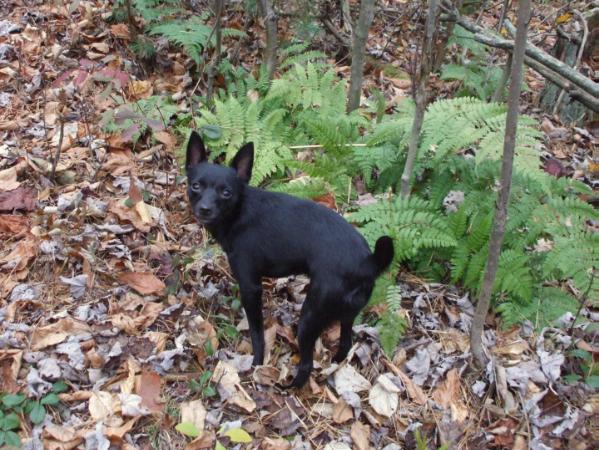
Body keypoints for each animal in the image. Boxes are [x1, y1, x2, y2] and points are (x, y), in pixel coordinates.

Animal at [186, 130, 394, 386]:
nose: (205, 208)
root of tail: (368, 262)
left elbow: (257, 334)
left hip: (310, 317)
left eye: (226, 192)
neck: (238, 212)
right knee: (346, 341)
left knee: (307, 363)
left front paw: (257, 363)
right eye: (195, 186)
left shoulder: (250, 288)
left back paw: (291, 386)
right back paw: (335, 364)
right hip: (347, 313)